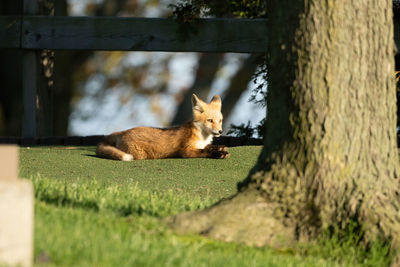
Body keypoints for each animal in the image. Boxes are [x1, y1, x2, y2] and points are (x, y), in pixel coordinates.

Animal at [95, 94, 230, 161]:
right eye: (210, 120)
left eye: (220, 121)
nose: (220, 131)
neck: (202, 136)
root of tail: (124, 131)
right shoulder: (186, 151)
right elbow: (204, 151)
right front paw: (218, 153)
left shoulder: (201, 144)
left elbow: (209, 147)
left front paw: (220, 148)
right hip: (139, 154)